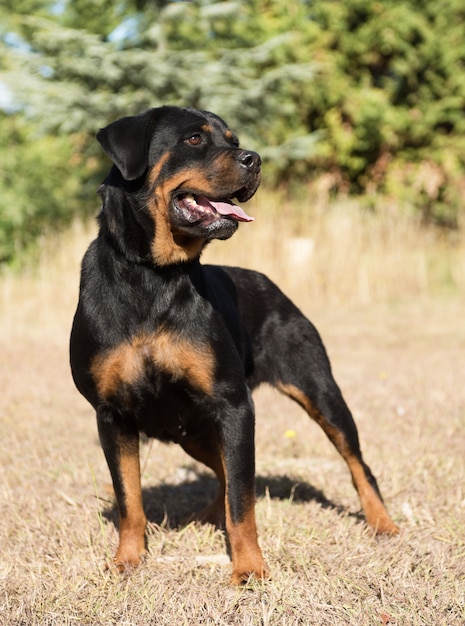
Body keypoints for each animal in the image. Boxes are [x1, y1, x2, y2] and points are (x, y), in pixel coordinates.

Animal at [70, 105, 398, 584]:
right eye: (193, 139)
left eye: (233, 140)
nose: (254, 159)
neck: (152, 276)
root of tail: (272, 285)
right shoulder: (112, 414)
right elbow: (130, 498)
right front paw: (127, 561)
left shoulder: (235, 406)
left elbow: (243, 502)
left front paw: (249, 570)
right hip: (192, 430)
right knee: (224, 473)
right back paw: (207, 516)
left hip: (318, 391)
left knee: (356, 463)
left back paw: (383, 523)